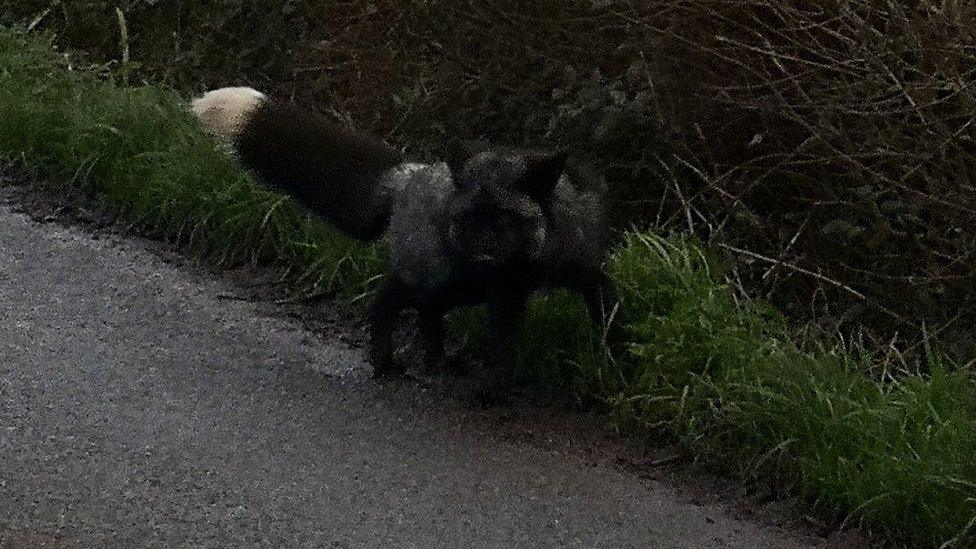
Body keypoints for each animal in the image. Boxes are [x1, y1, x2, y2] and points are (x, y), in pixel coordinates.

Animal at [193, 88, 616, 382]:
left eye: (503, 219)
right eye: (469, 220)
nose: (482, 256)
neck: (537, 260)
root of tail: (409, 177)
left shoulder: (585, 273)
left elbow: (607, 317)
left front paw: (612, 360)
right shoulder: (503, 293)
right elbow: (499, 350)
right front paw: (492, 390)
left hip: (461, 287)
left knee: (418, 307)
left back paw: (424, 359)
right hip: (445, 278)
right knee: (395, 301)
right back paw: (394, 360)